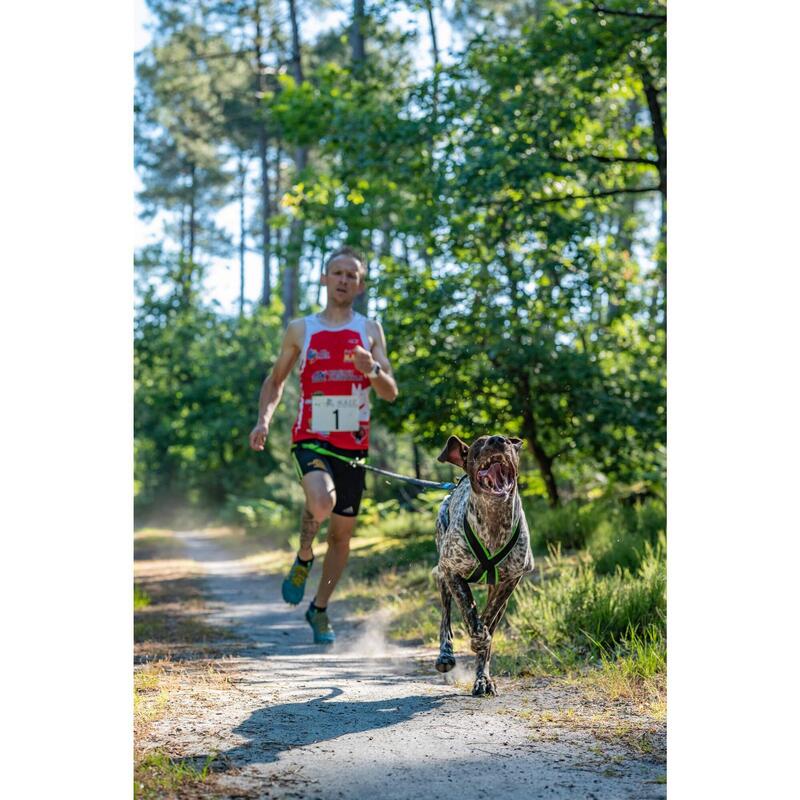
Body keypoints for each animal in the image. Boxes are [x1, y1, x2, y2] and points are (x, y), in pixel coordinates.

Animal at [434, 434, 536, 696]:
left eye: (510, 441)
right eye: (480, 443)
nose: (499, 440)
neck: (494, 520)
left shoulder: (510, 580)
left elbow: (488, 619)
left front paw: (483, 670)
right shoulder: (452, 573)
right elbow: (469, 612)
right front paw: (476, 634)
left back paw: (483, 678)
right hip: (442, 576)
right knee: (445, 615)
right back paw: (445, 654)